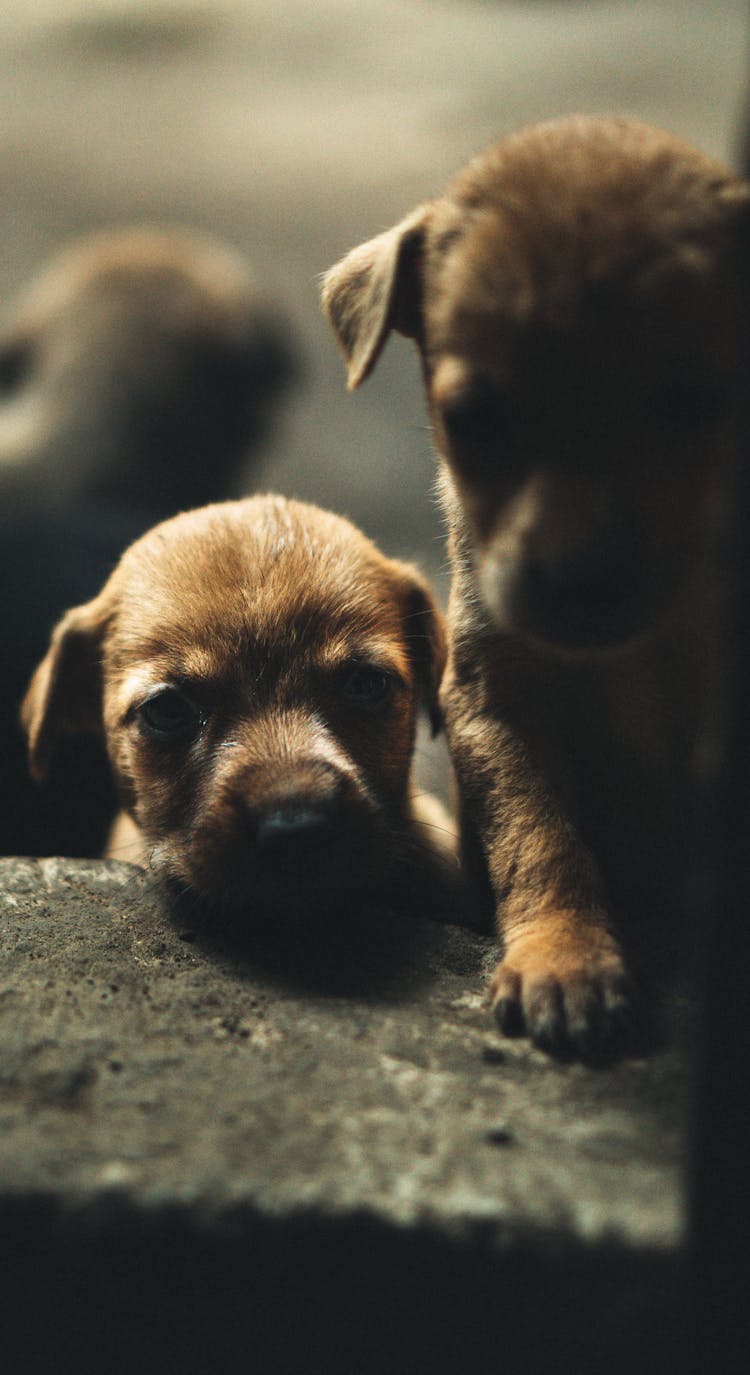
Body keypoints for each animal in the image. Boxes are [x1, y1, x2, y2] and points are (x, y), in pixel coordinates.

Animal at [323, 118, 748, 1056]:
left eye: (702, 402)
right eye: (472, 420)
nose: (582, 584)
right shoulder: (494, 699)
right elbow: (539, 833)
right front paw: (566, 957)